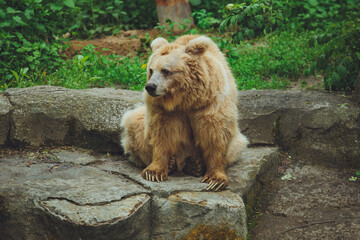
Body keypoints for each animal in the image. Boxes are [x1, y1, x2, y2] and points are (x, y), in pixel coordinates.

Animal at [121, 34, 248, 191]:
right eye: (151, 70)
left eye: (165, 70)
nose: (150, 86)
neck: (184, 99)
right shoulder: (163, 109)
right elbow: (162, 134)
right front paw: (154, 172)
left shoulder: (210, 103)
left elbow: (216, 134)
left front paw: (215, 180)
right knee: (134, 124)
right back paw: (174, 163)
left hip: (237, 143)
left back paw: (195, 165)